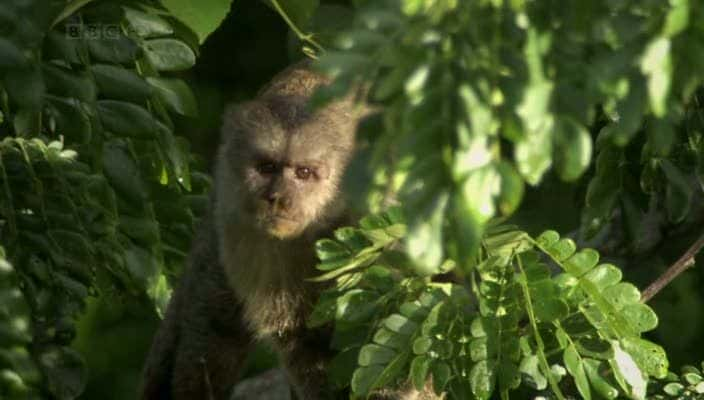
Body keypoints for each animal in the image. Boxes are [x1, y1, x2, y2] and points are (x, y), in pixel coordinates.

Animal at [140, 62, 442, 400]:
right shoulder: (231, 212)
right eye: (267, 167)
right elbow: (290, 336)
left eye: (304, 173)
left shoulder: (381, 212)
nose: (278, 198)